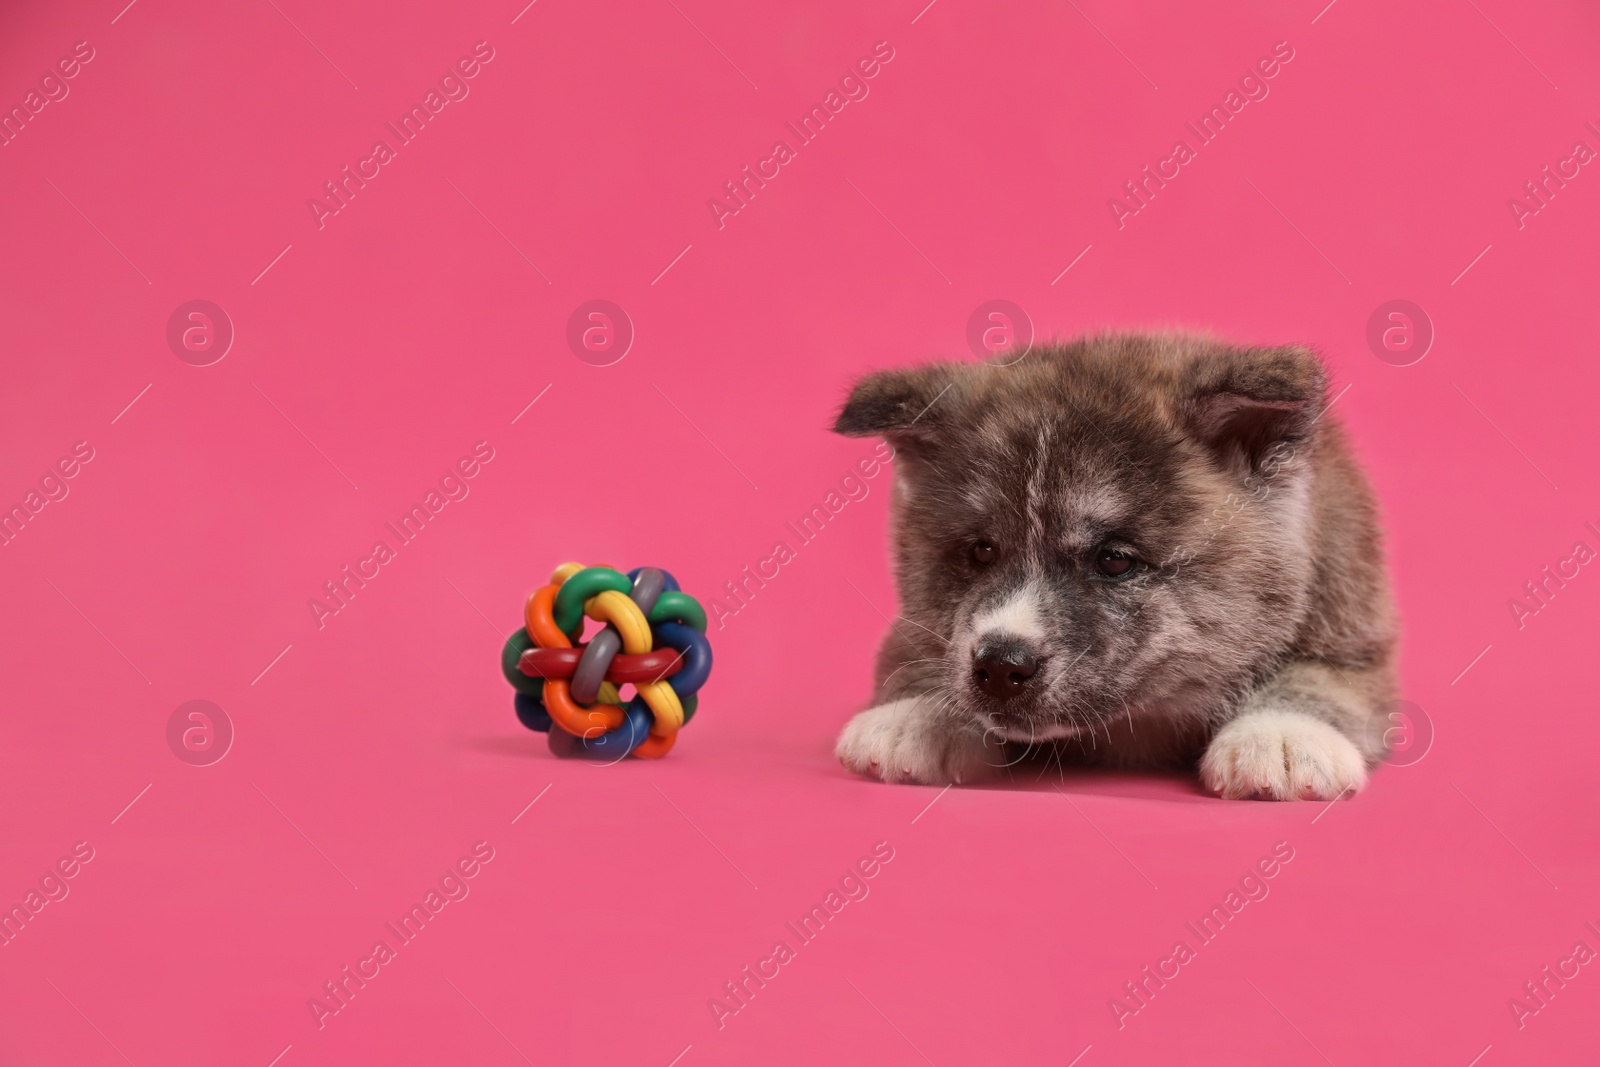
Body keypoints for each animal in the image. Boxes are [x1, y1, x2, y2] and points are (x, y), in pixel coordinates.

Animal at [832, 334, 1395, 799]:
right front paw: (915, 717)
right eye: (981, 552)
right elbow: (919, 651)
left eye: (1115, 560)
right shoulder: (919, 627)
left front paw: (1281, 733)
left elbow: (1320, 678)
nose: (999, 665)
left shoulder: (1358, 635)